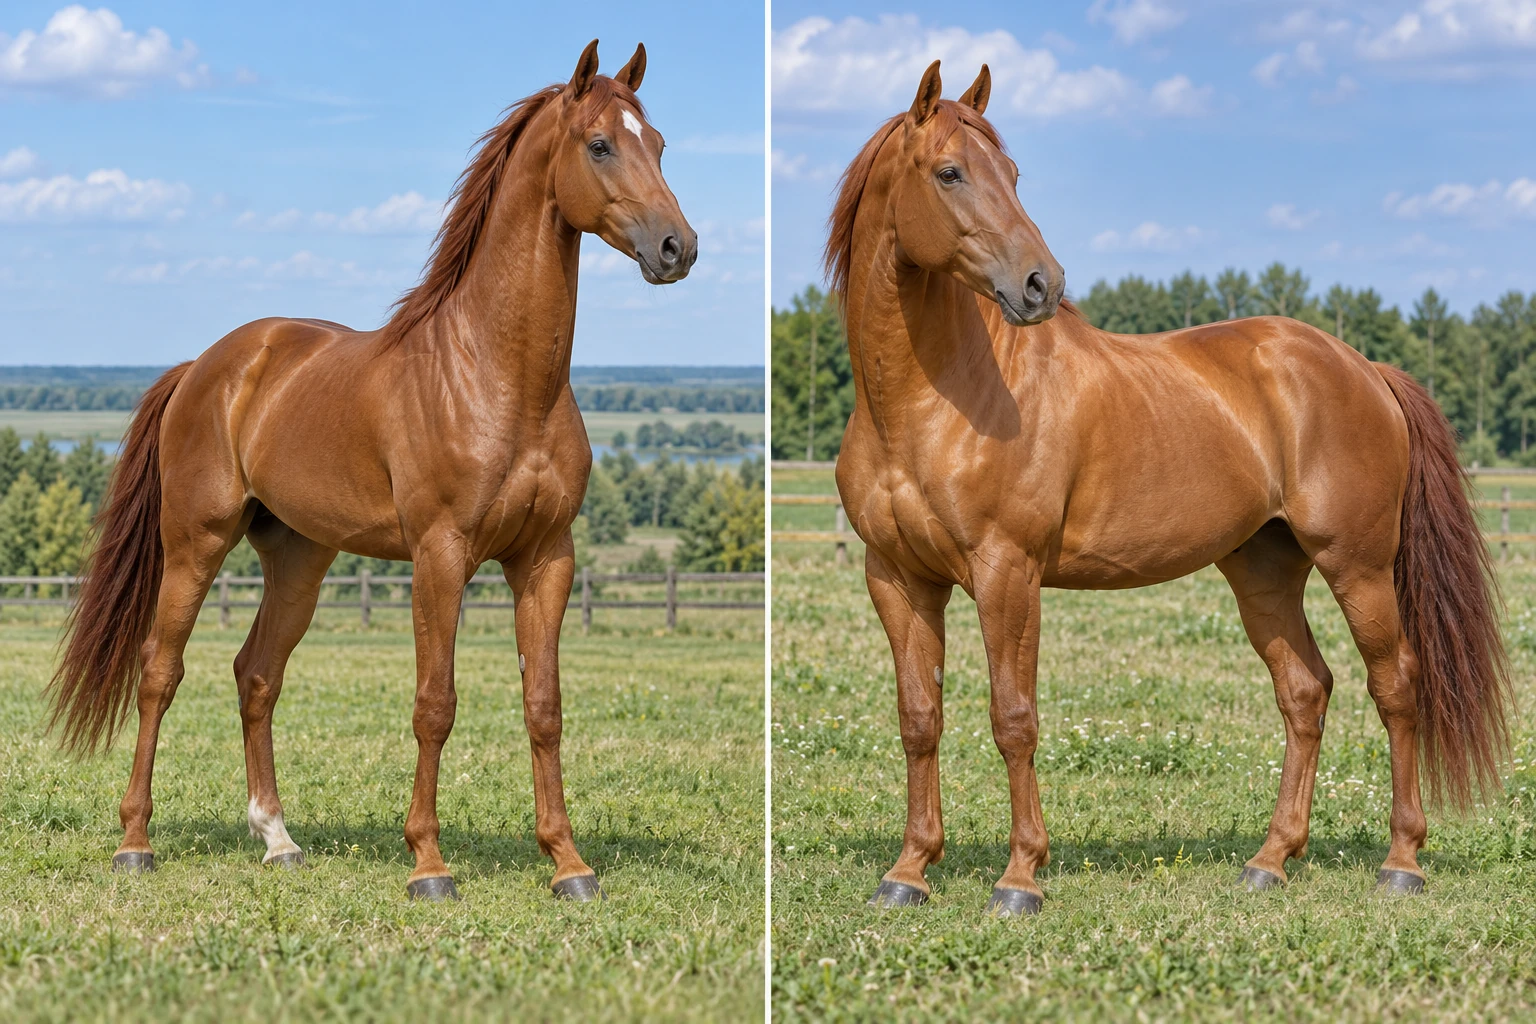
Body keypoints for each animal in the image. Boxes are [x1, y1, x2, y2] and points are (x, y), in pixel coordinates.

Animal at [46, 40, 697, 903]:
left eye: (657, 144)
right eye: (599, 145)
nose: (678, 249)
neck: (498, 375)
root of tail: (208, 367)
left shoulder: (545, 558)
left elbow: (544, 705)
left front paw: (568, 862)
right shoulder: (440, 556)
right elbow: (435, 704)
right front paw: (429, 864)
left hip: (299, 557)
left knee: (257, 674)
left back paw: (278, 839)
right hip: (195, 544)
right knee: (161, 671)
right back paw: (135, 841)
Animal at [826, 60, 1511, 917]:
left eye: (1012, 173)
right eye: (950, 172)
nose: (1040, 284)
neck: (930, 401)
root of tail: (1362, 367)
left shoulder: (1007, 572)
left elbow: (1013, 718)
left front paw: (1020, 877)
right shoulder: (897, 578)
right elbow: (919, 717)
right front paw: (910, 869)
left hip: (1357, 566)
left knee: (1396, 687)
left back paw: (1402, 861)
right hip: (1263, 569)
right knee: (1305, 692)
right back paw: (1271, 859)